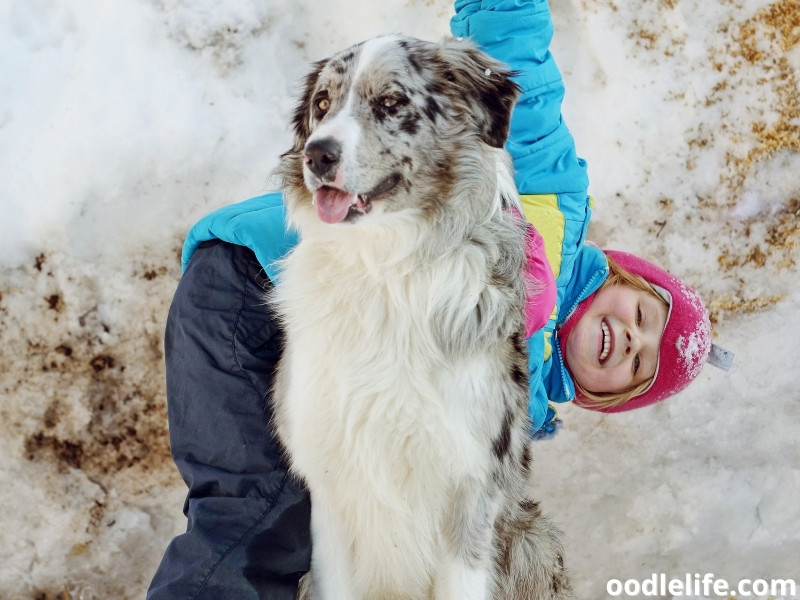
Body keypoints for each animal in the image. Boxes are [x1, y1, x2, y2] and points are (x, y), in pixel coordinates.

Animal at [272, 34, 572, 600]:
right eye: (322, 103)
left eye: (392, 102)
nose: (317, 153)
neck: (384, 269)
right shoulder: (331, 489)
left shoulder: (472, 490)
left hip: (532, 539)